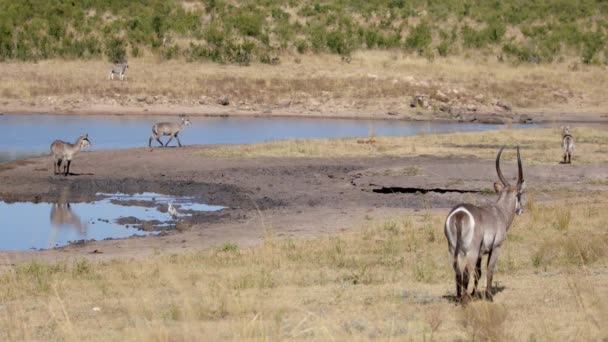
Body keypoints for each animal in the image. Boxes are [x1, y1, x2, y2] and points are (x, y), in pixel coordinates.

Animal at [444, 146, 524, 304]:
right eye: (520, 195)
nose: (521, 210)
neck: (499, 211)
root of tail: (459, 214)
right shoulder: (496, 248)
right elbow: (489, 270)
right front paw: (489, 296)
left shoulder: (481, 253)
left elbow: (478, 273)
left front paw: (475, 294)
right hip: (471, 251)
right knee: (465, 273)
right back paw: (465, 301)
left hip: (452, 250)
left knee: (458, 273)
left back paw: (459, 298)